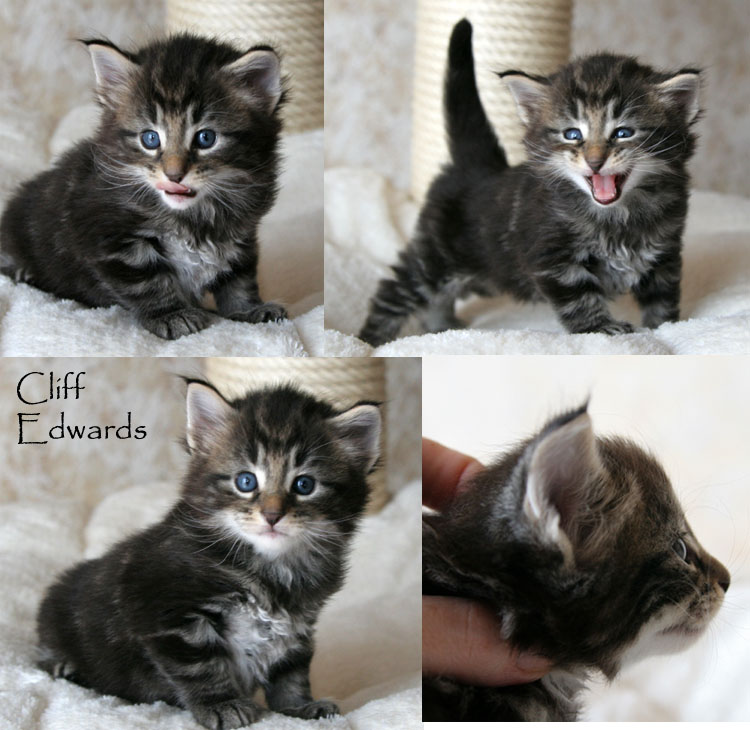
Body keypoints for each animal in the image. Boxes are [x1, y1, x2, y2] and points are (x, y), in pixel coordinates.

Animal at [1, 34, 287, 339]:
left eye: (206, 138)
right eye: (150, 139)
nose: (174, 175)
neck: (193, 217)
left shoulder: (241, 235)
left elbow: (239, 277)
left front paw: (248, 309)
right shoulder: (110, 238)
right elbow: (147, 282)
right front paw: (171, 315)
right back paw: (24, 273)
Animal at [37, 380, 381, 728]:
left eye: (304, 485)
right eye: (246, 481)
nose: (272, 515)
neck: (271, 570)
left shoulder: (299, 624)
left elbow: (291, 671)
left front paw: (298, 708)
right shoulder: (167, 613)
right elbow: (201, 667)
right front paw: (222, 705)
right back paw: (67, 668)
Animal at [359, 19, 700, 345]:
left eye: (623, 132)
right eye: (572, 134)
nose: (594, 161)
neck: (618, 218)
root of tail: (474, 167)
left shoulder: (665, 252)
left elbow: (663, 297)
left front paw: (667, 328)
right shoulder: (554, 260)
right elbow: (580, 300)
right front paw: (600, 328)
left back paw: (441, 326)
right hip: (435, 257)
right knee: (396, 290)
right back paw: (368, 341)